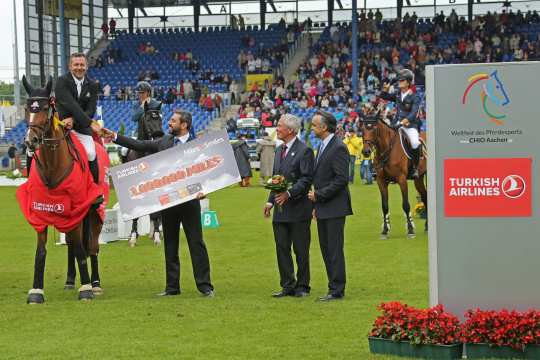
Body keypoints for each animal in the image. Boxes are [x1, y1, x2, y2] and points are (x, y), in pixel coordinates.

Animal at [21, 76, 103, 304]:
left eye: (44, 108)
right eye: (27, 108)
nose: (30, 141)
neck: (52, 164)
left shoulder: (76, 209)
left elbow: (81, 249)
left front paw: (86, 289)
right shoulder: (39, 211)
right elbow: (41, 252)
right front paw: (36, 291)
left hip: (93, 213)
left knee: (92, 246)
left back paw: (95, 284)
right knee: (72, 245)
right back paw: (69, 280)